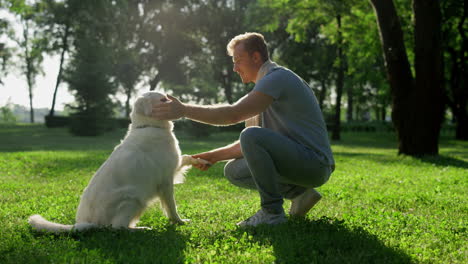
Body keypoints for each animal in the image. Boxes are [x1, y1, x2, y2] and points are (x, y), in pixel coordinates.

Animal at [27, 91, 207, 233]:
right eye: (163, 100)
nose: (180, 104)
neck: (149, 126)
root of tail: (85, 222)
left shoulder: (174, 166)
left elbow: (187, 157)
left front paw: (201, 160)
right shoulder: (165, 180)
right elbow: (172, 207)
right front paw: (179, 221)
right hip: (133, 198)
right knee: (118, 227)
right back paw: (142, 229)